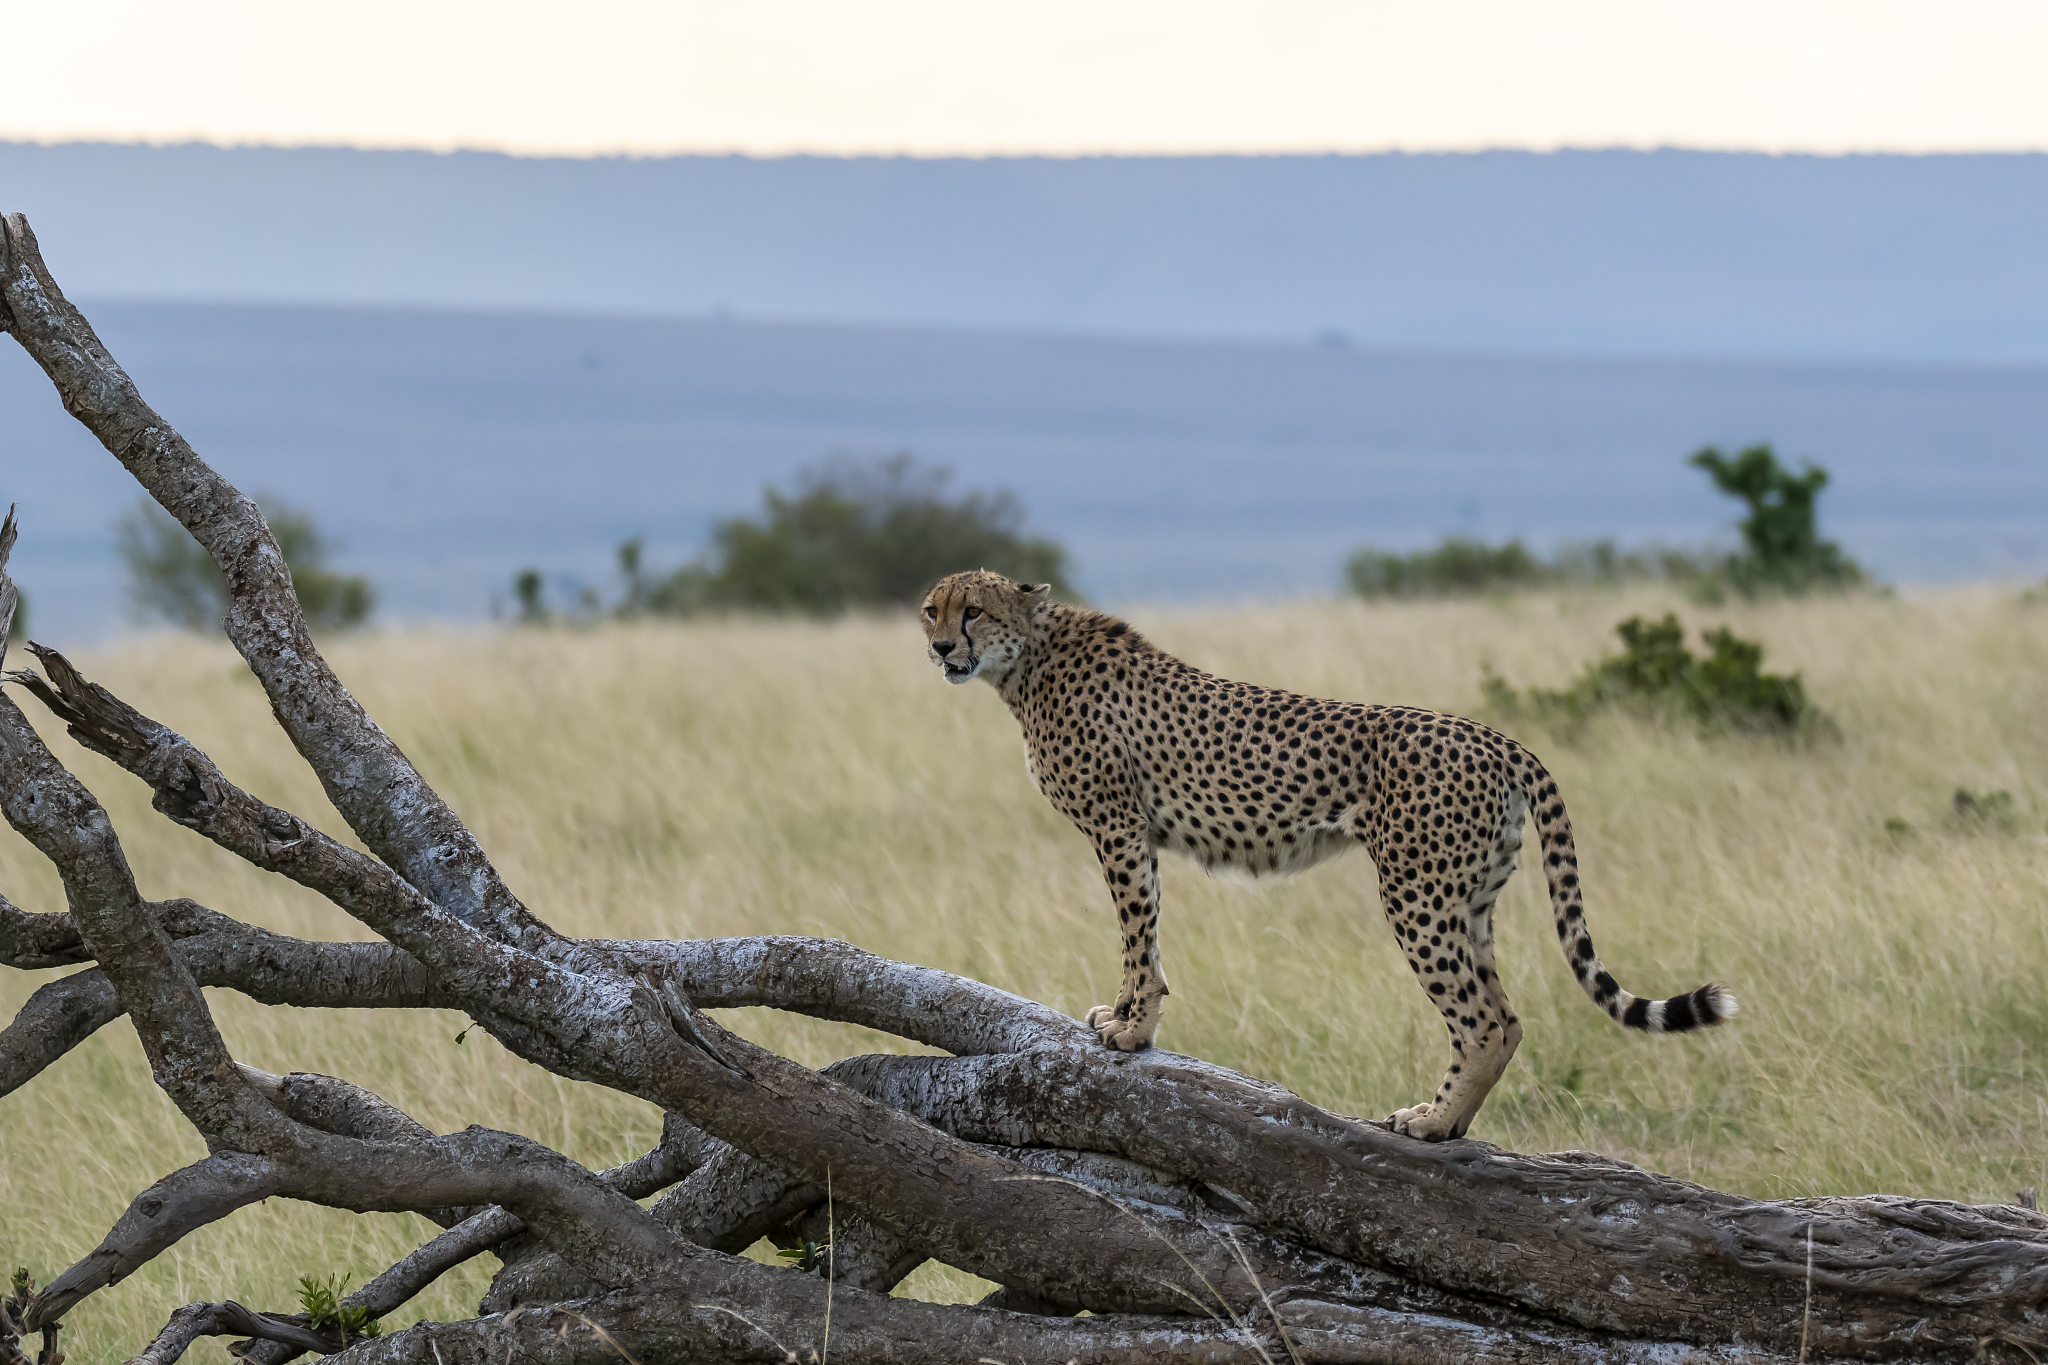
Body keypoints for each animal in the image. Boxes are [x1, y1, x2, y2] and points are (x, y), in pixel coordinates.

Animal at [919, 569, 1737, 1141]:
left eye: (975, 611)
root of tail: (1496, 737)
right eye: (934, 608)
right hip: (1469, 898)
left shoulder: (1119, 828)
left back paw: (1430, 1123)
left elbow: (1135, 933)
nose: (940, 647)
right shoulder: (1133, 834)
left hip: (1416, 895)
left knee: (1479, 1019)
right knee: (1507, 1015)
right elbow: (1144, 935)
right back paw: (1450, 1121)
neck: (1029, 658)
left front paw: (1130, 1027)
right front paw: (1128, 1017)